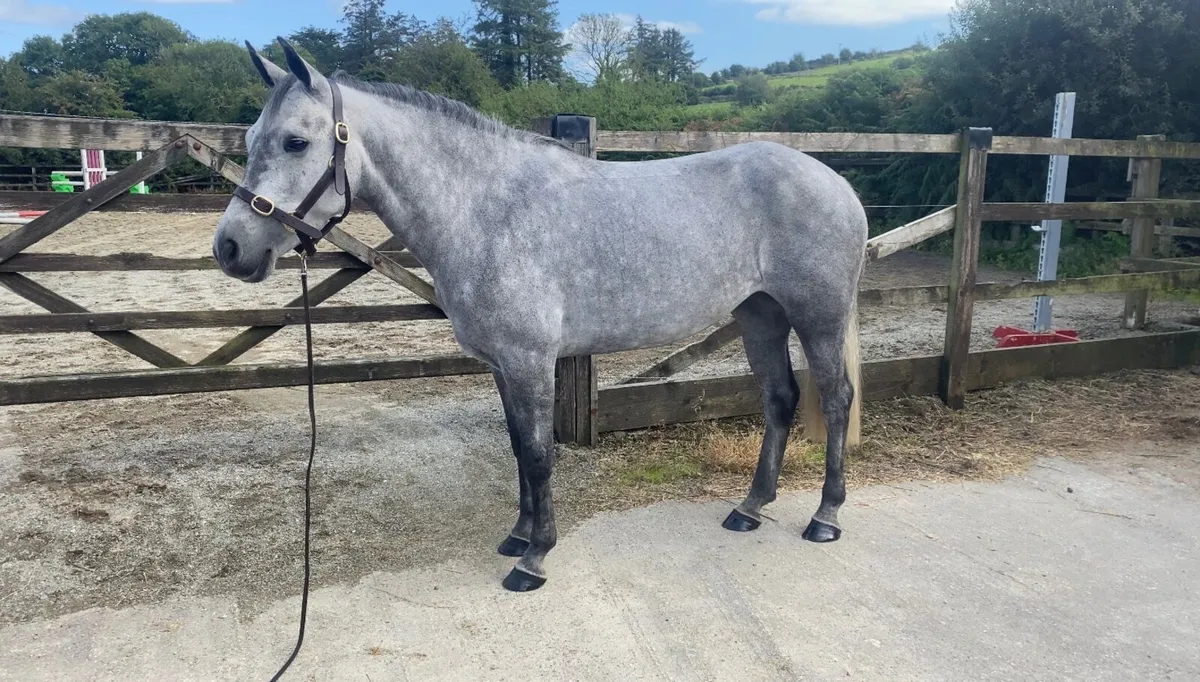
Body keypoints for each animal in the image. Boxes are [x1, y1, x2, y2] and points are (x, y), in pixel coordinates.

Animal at [212, 38, 868, 593]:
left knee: (836, 398)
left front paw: (534, 559)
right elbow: (517, 449)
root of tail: (834, 180)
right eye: (249, 137)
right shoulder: (504, 364)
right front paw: (517, 536)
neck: (487, 210)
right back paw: (750, 508)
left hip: (818, 315)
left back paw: (825, 516)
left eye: (296, 141)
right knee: (780, 398)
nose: (230, 248)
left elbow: (537, 453)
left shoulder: (530, 361)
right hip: (759, 314)